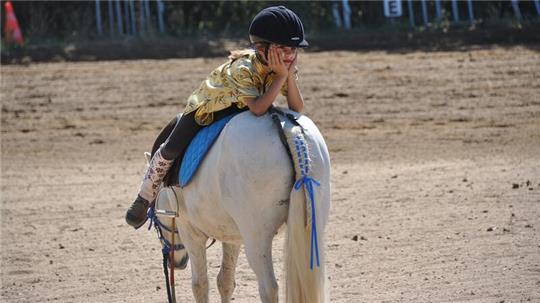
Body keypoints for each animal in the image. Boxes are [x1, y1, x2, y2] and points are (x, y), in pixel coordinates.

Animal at [151, 110, 330, 303]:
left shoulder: (190, 232)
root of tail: (289, 130)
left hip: (257, 239)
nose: (176, 263)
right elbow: (225, 281)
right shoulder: (233, 236)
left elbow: (200, 285)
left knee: (269, 287)